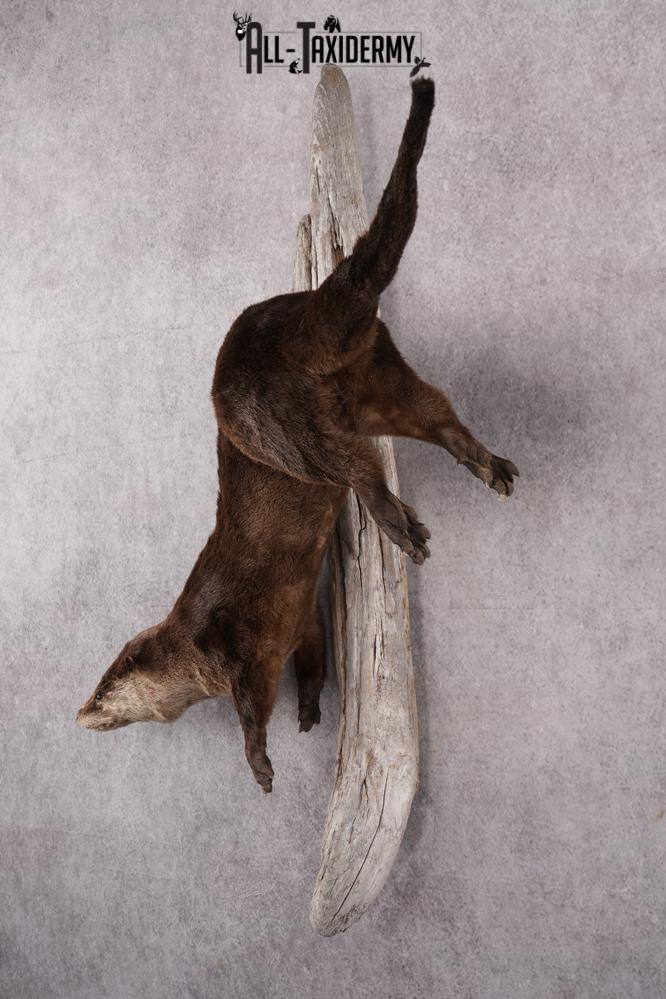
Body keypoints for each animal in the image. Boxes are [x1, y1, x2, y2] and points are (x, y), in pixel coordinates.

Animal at [77, 79, 518, 792]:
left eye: (99, 689)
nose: (78, 713)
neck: (191, 645)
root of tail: (293, 319)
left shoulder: (237, 649)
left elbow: (251, 709)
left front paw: (259, 764)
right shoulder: (301, 621)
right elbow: (312, 656)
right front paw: (310, 708)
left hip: (273, 422)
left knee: (352, 465)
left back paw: (401, 525)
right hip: (375, 377)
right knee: (430, 412)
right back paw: (488, 466)